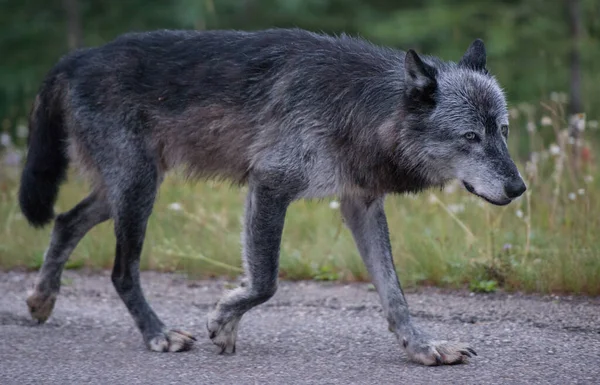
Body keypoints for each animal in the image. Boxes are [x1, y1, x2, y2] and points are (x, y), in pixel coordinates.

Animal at [18, 28, 524, 364]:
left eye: (502, 131)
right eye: (470, 137)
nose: (519, 188)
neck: (358, 106)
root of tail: (75, 58)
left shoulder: (360, 204)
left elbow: (394, 295)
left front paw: (423, 347)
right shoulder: (270, 185)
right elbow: (265, 282)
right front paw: (222, 323)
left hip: (123, 191)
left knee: (65, 220)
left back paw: (42, 300)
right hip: (138, 190)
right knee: (122, 270)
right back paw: (158, 335)